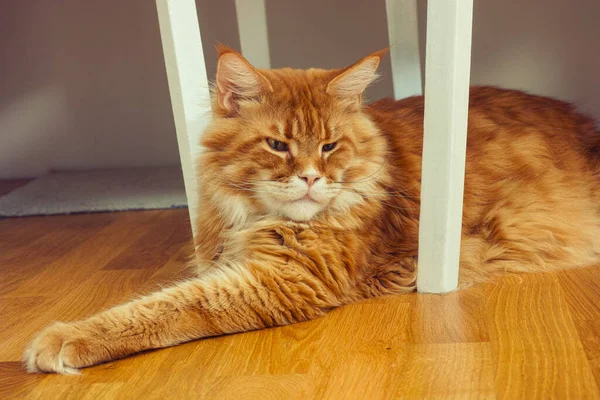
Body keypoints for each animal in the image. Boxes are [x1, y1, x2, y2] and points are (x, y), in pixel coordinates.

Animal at [23, 47, 600, 376]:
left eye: (329, 146)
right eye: (278, 145)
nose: (309, 177)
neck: (254, 216)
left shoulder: (283, 279)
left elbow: (167, 307)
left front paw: (63, 338)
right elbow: (161, 296)